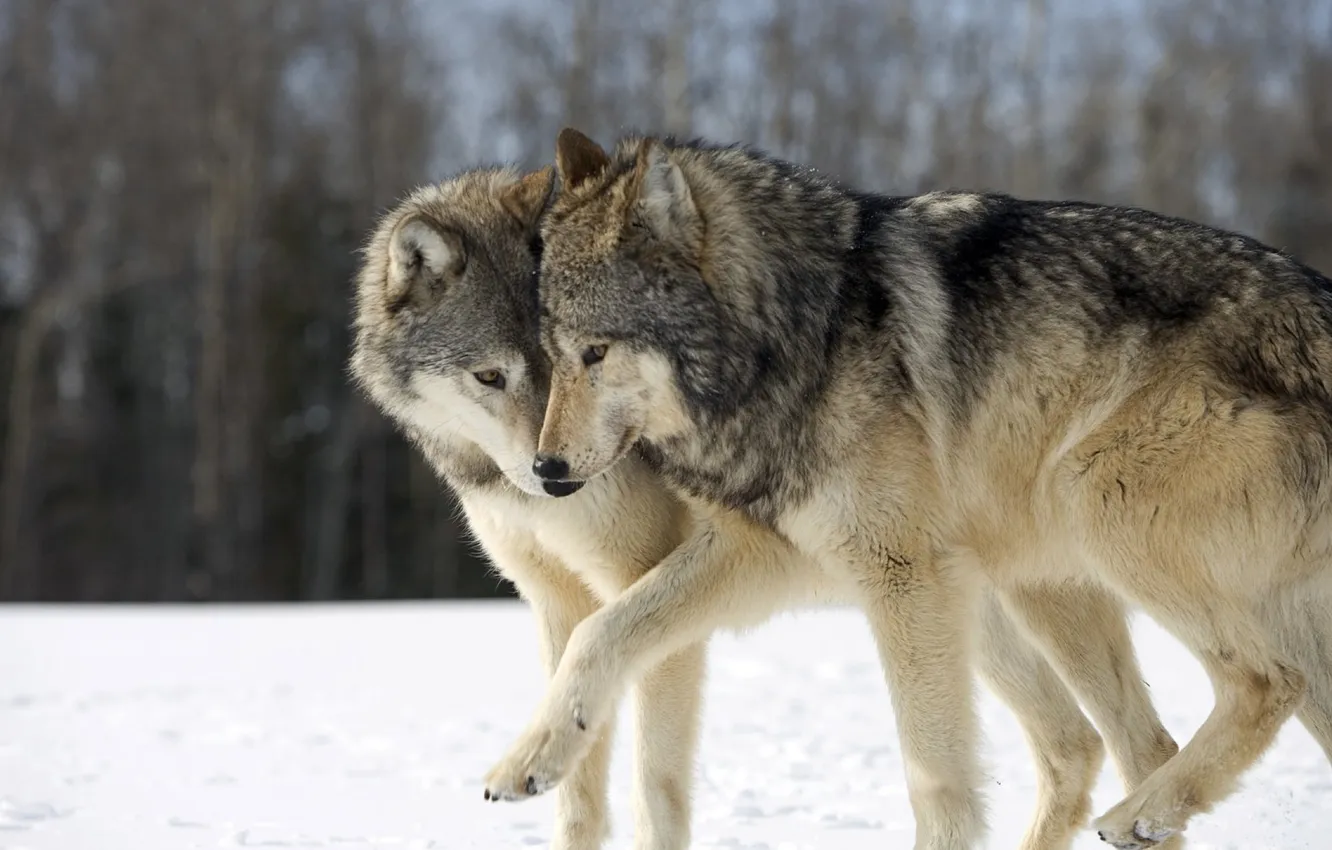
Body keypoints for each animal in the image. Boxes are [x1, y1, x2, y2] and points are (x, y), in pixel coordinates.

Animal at [349, 167, 1184, 850]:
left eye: (580, 362)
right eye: (492, 376)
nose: (553, 476)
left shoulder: (668, 589)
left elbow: (652, 780)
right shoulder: (557, 600)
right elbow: (579, 796)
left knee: (1126, 745)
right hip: (965, 608)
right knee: (1080, 744)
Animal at [484, 127, 1332, 850]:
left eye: (596, 352)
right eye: (550, 354)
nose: (546, 472)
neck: (801, 335)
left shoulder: (901, 576)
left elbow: (933, 777)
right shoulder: (771, 551)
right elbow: (603, 630)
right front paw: (529, 759)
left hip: (1092, 499)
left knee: (1263, 684)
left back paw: (1143, 811)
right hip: (1040, 585)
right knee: (1139, 739)